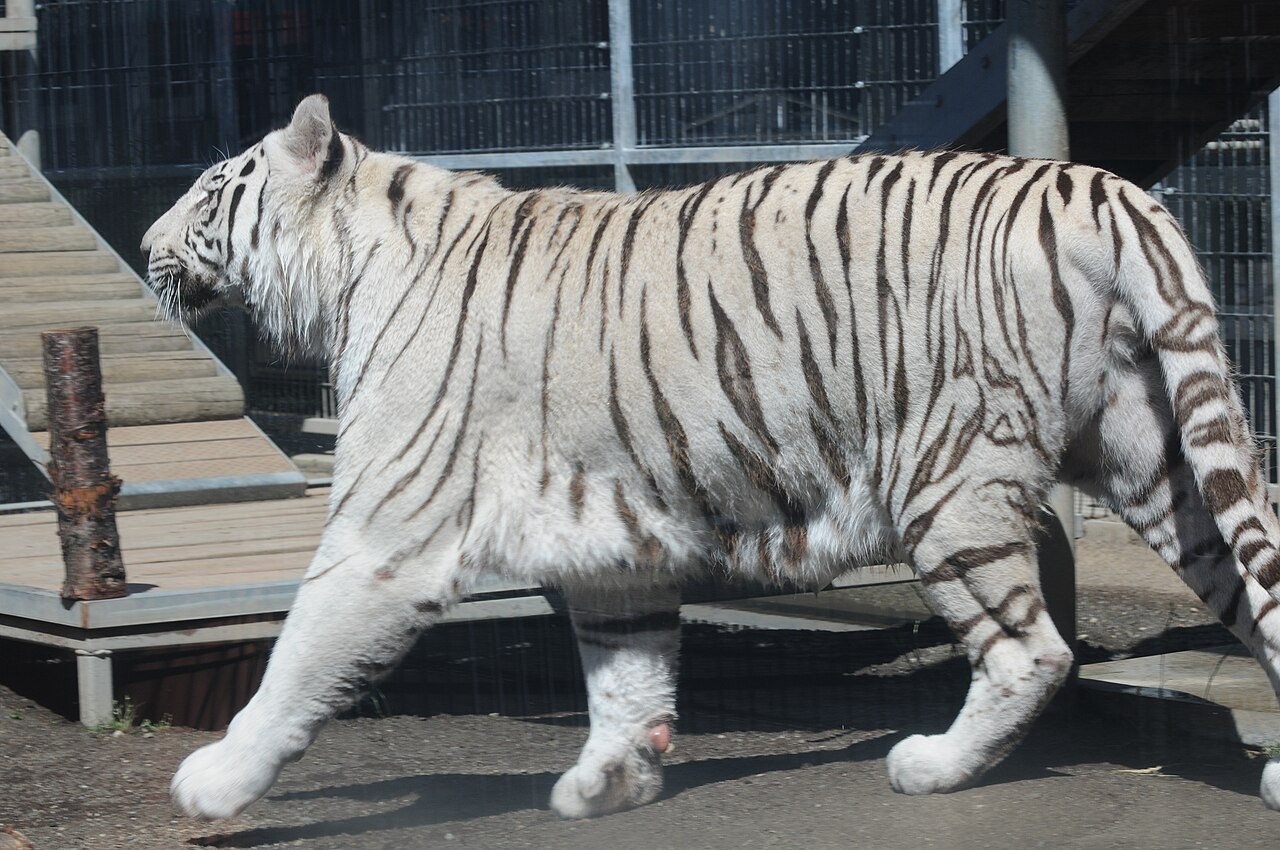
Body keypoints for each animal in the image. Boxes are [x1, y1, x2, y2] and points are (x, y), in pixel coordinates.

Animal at [142, 94, 1280, 820]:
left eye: (209, 191)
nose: (148, 245)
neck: (351, 265)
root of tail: (1097, 187)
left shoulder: (390, 527)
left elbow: (299, 652)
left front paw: (216, 780)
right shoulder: (608, 532)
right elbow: (624, 666)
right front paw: (609, 779)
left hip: (947, 481)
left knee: (1028, 650)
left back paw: (931, 767)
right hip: (1154, 457)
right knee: (1247, 581)